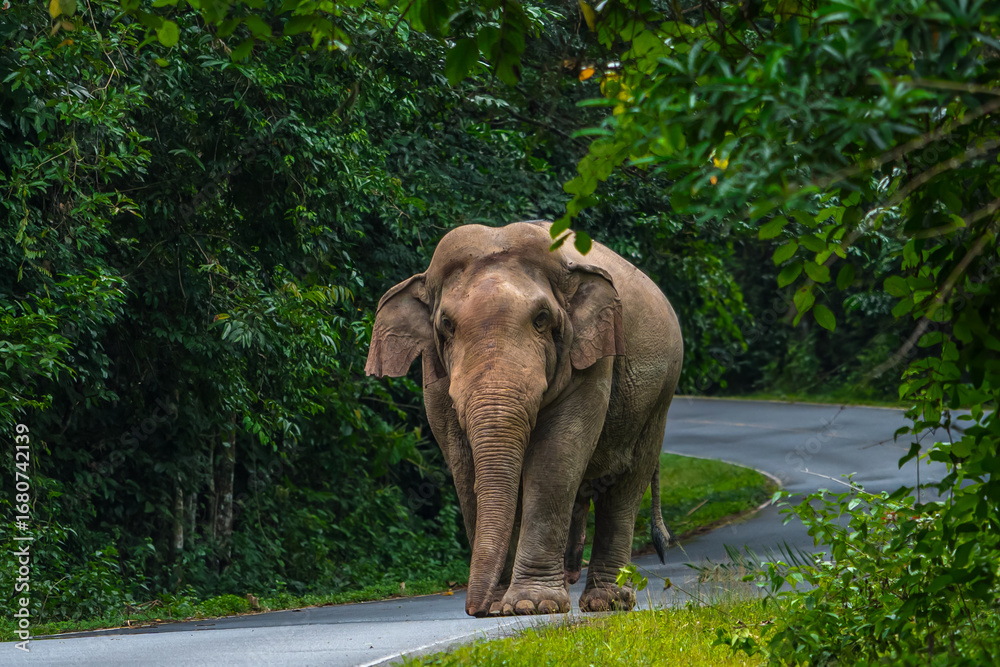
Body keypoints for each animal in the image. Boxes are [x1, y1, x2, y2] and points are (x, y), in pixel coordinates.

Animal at [365, 221, 683, 617]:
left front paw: (533, 604)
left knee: (627, 484)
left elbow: (555, 456)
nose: (475, 608)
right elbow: (464, 466)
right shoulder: (434, 374)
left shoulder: (591, 360)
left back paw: (607, 601)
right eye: (447, 325)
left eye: (542, 319)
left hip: (660, 398)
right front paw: (503, 604)